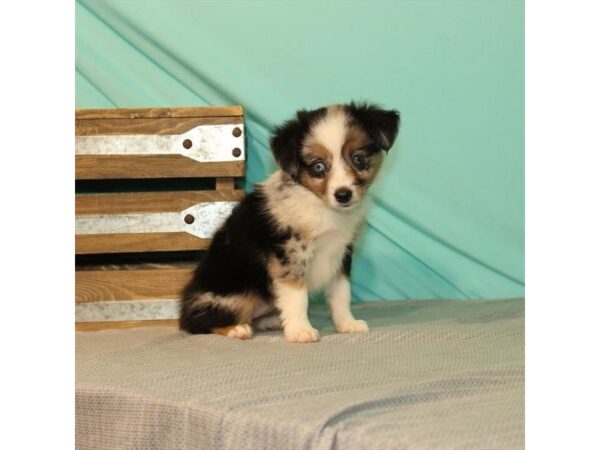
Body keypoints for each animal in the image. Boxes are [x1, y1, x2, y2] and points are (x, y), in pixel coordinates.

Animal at [180, 101, 400, 342]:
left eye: (358, 158)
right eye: (318, 167)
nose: (343, 195)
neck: (322, 206)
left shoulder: (341, 252)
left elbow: (342, 293)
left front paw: (346, 324)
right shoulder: (290, 255)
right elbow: (297, 297)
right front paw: (300, 331)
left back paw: (271, 321)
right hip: (237, 293)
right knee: (198, 322)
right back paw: (236, 328)